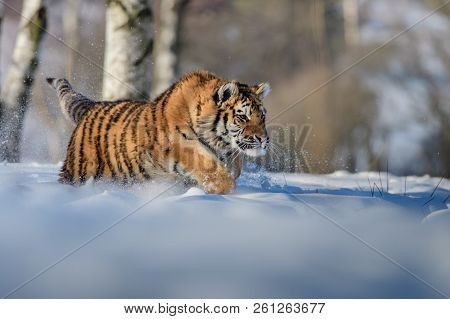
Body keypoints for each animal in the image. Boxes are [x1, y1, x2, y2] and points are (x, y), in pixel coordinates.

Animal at [47, 71, 268, 194]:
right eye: (242, 117)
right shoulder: (181, 145)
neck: (218, 142)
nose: (263, 139)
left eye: (262, 116)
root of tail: (92, 106)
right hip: (80, 172)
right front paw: (223, 189)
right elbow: (210, 166)